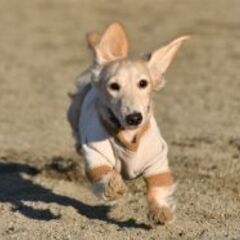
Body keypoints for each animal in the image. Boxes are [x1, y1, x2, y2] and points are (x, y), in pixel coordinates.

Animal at [67, 22, 189, 225]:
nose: (134, 118)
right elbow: (103, 173)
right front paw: (114, 186)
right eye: (114, 86)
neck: (127, 134)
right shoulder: (96, 152)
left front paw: (160, 211)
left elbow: (158, 188)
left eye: (143, 83)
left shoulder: (157, 160)